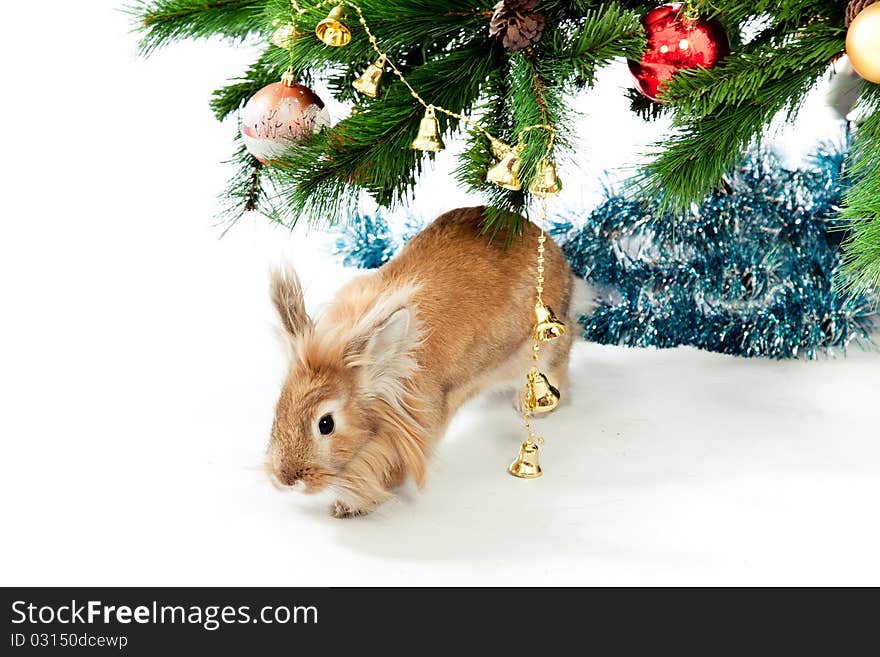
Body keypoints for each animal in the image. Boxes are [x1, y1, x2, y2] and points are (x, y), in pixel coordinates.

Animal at [264, 205, 588, 516]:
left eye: (326, 424)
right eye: (278, 408)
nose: (286, 479)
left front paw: (349, 508)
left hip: (544, 344)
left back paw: (530, 403)